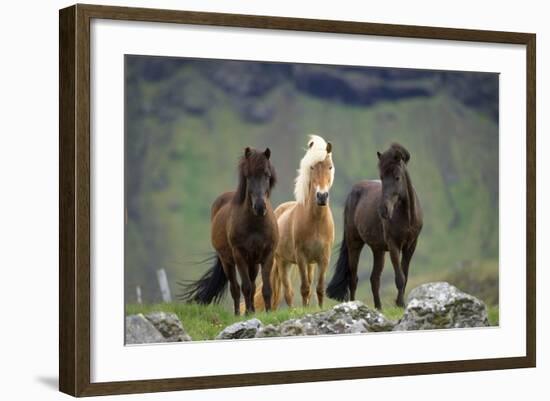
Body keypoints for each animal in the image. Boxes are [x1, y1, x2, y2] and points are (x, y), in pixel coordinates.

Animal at [179, 145, 278, 314]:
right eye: (248, 175)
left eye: (267, 175)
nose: (259, 207)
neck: (255, 225)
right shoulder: (239, 256)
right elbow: (245, 288)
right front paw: (246, 314)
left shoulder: (268, 256)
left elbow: (265, 289)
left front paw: (268, 312)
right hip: (228, 262)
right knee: (236, 288)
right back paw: (239, 313)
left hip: (253, 263)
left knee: (252, 285)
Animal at [326, 144, 424, 310]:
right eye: (382, 177)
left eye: (397, 177)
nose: (383, 210)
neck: (407, 216)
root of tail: (353, 192)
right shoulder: (394, 246)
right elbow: (399, 278)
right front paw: (400, 304)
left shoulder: (411, 246)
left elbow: (405, 276)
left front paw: (401, 303)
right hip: (354, 244)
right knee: (353, 278)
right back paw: (354, 304)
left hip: (378, 250)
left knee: (374, 279)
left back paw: (378, 307)